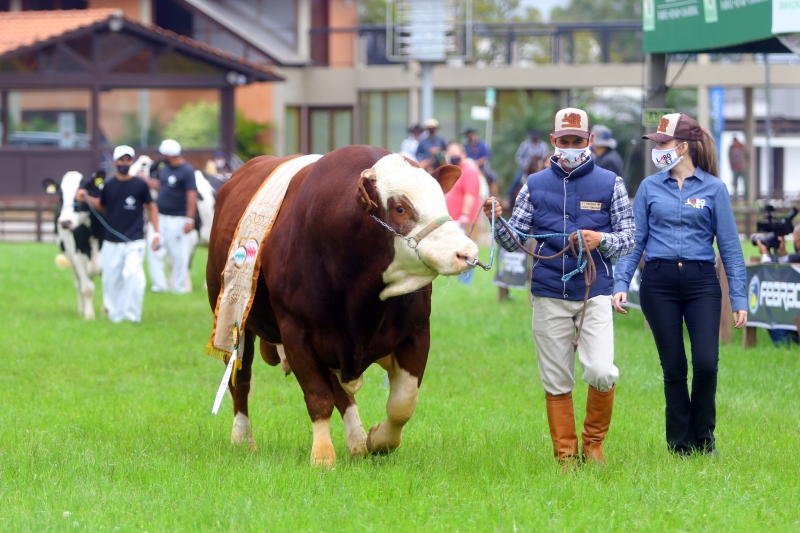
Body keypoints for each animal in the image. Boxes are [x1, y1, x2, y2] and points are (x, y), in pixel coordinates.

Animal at [43, 170, 107, 318]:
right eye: (60, 196)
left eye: (81, 194)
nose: (65, 222)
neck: (94, 233)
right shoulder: (79, 257)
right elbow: (87, 288)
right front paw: (89, 315)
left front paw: (107, 312)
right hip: (72, 261)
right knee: (79, 285)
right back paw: (81, 310)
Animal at [209, 145, 478, 466]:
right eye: (400, 208)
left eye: (441, 198)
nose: (465, 252)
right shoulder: (296, 332)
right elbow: (318, 396)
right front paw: (323, 456)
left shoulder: (416, 332)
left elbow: (402, 403)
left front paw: (378, 440)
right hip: (233, 319)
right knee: (240, 378)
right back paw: (242, 437)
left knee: (342, 393)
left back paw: (357, 440)